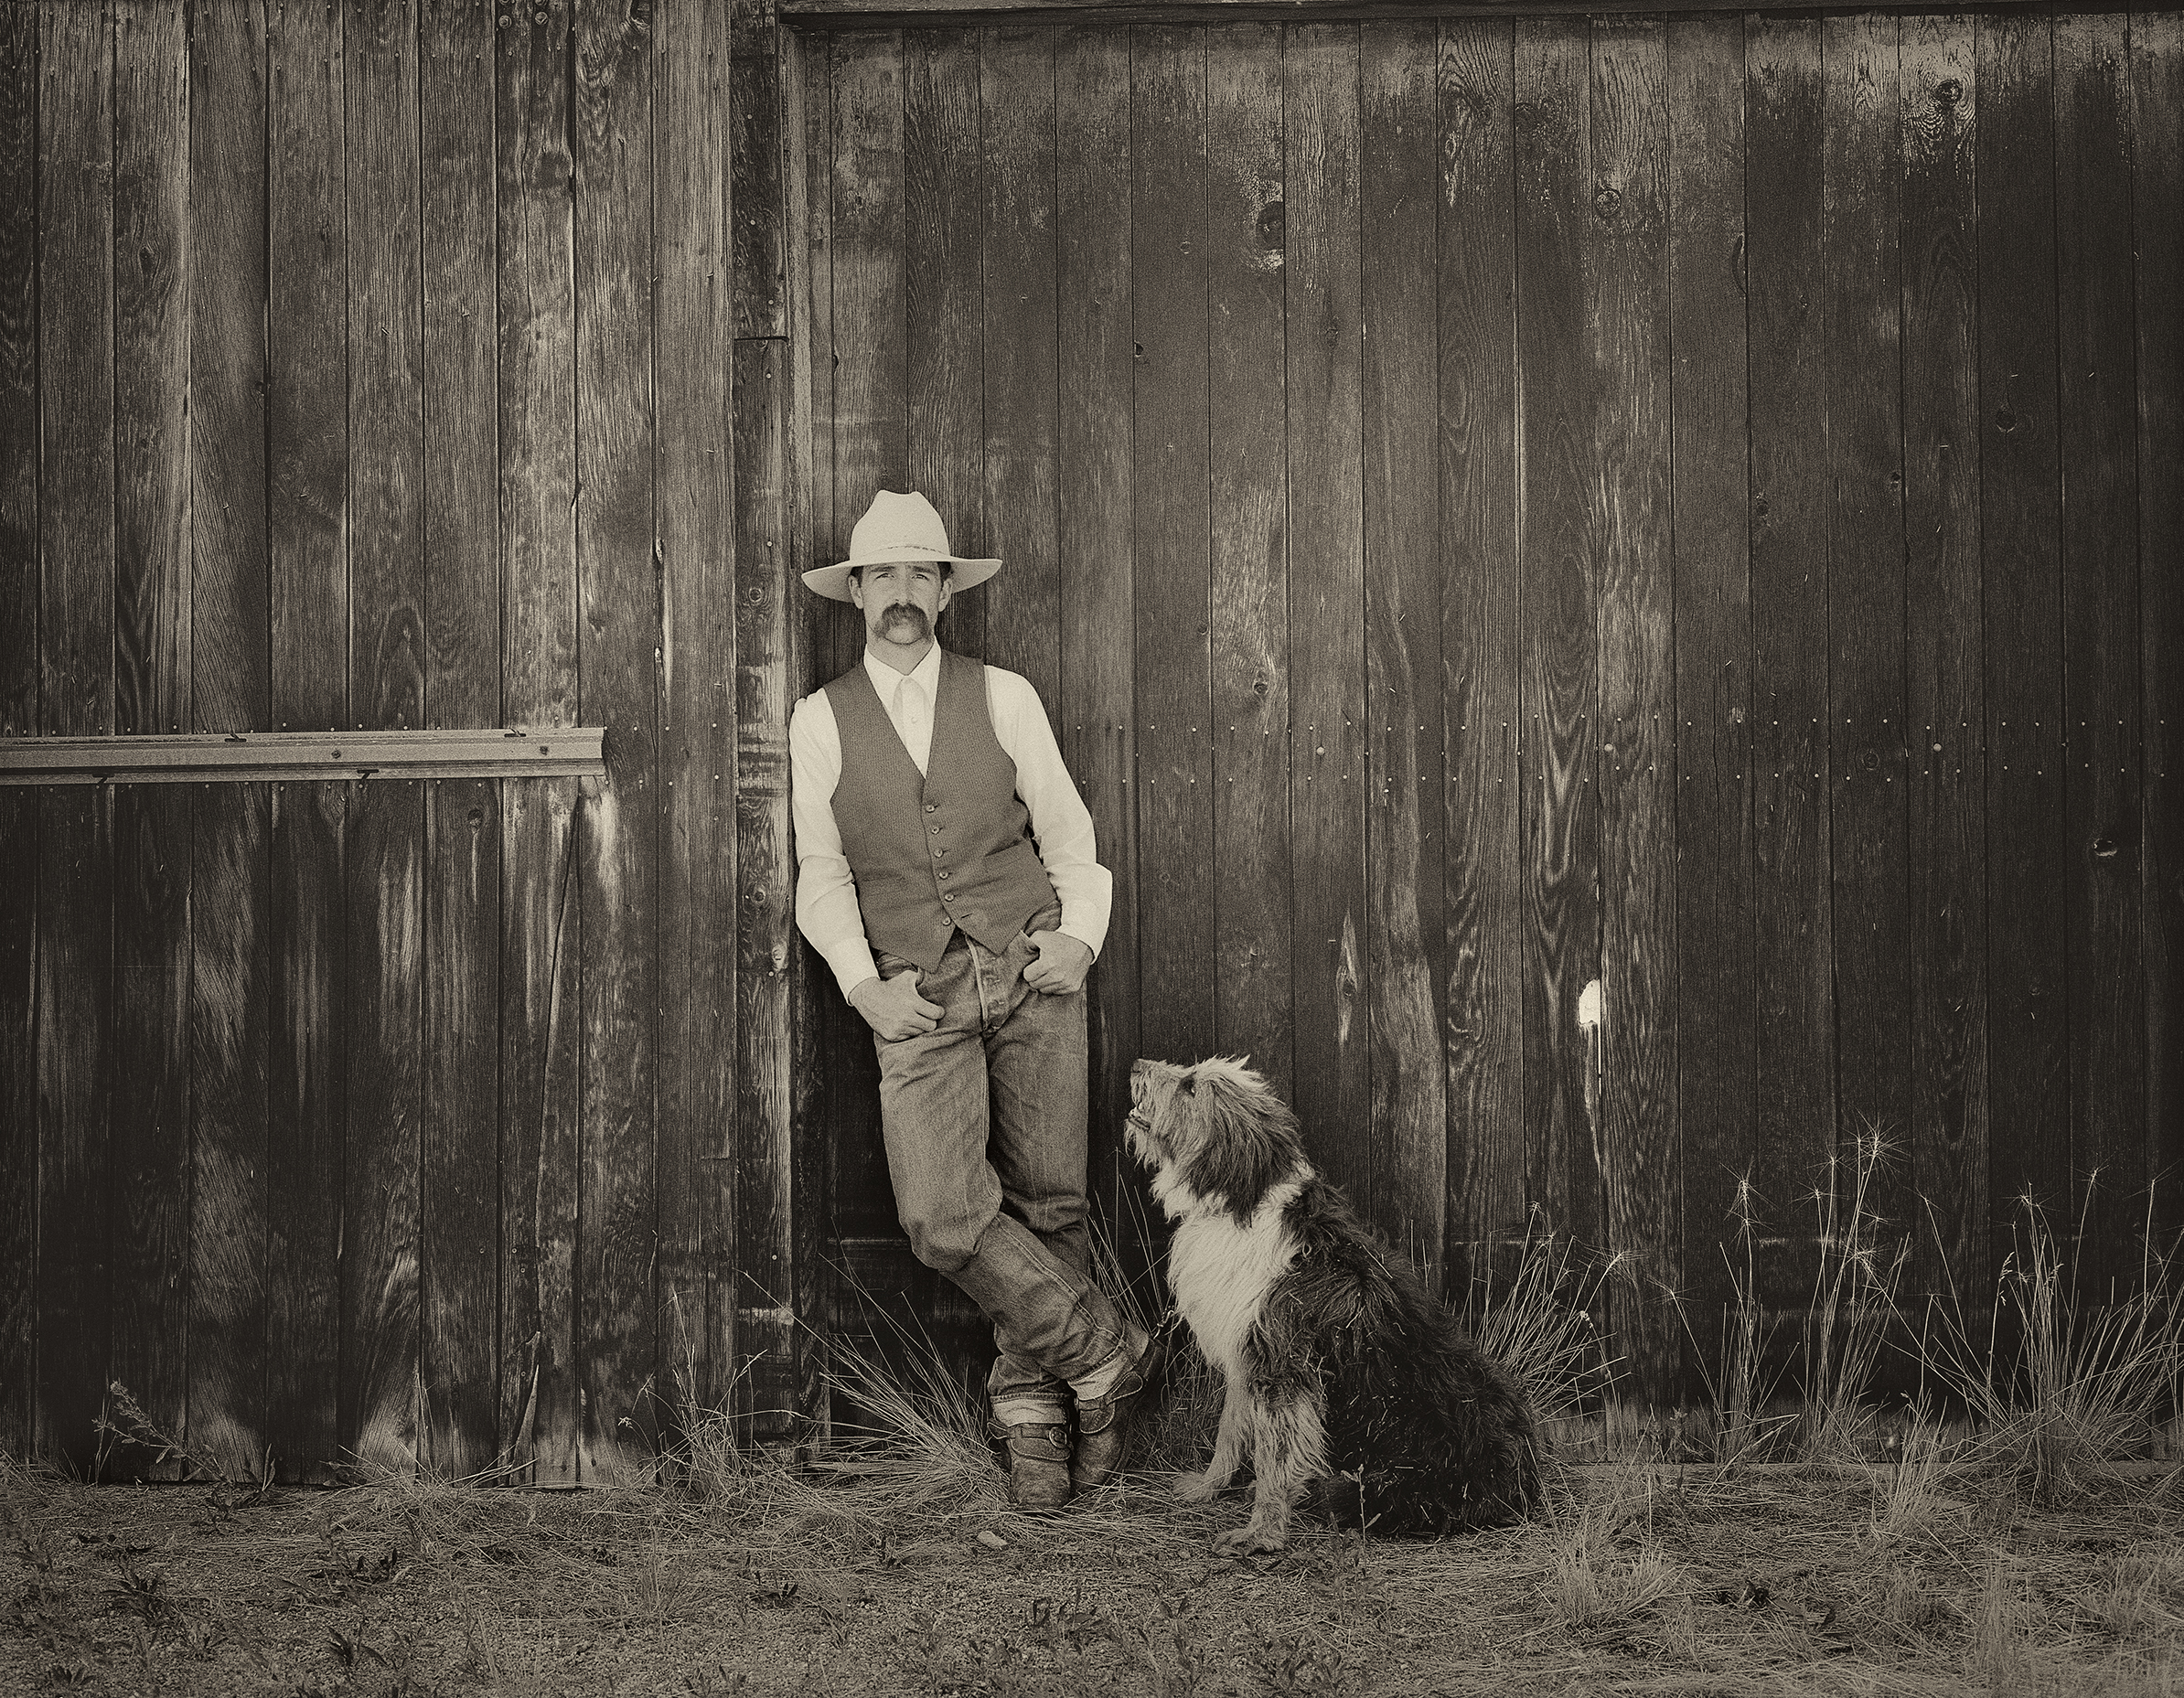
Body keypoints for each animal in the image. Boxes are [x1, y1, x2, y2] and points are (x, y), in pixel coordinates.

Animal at [1127, 1052, 1537, 1554]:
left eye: (1190, 1087)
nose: (1135, 1065)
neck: (1242, 1200)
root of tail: (1522, 1482)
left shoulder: (1283, 1369)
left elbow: (1274, 1457)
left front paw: (1261, 1534)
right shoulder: (1248, 1355)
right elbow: (1229, 1431)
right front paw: (1208, 1487)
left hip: (1387, 1487)